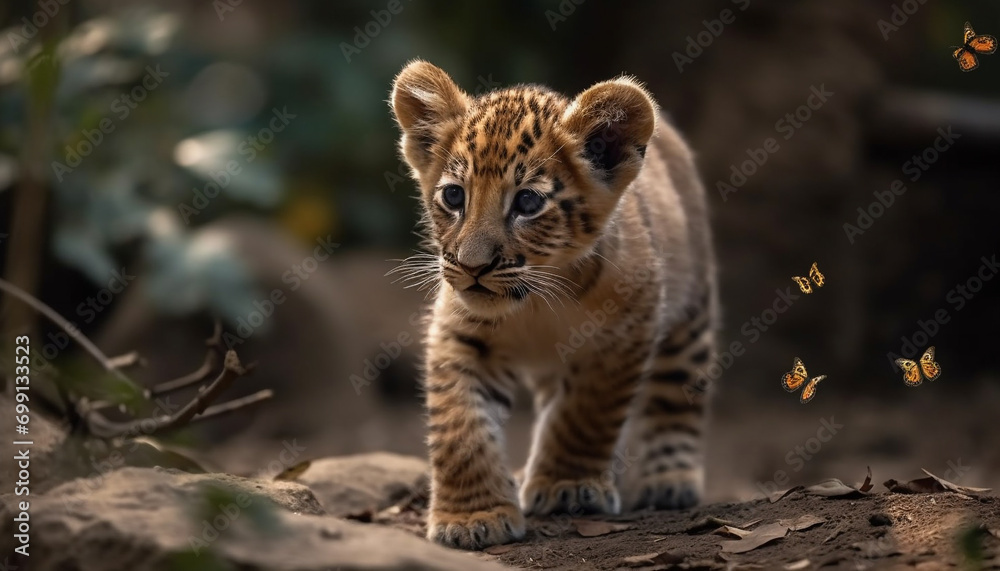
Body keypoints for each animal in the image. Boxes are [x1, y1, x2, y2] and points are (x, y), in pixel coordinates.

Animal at [389, 60, 719, 550]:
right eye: (454, 196)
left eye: (527, 202)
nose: (472, 266)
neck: (535, 304)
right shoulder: (459, 333)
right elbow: (460, 425)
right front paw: (472, 517)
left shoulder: (624, 335)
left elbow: (585, 414)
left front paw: (569, 486)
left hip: (690, 316)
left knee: (676, 397)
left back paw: (669, 479)